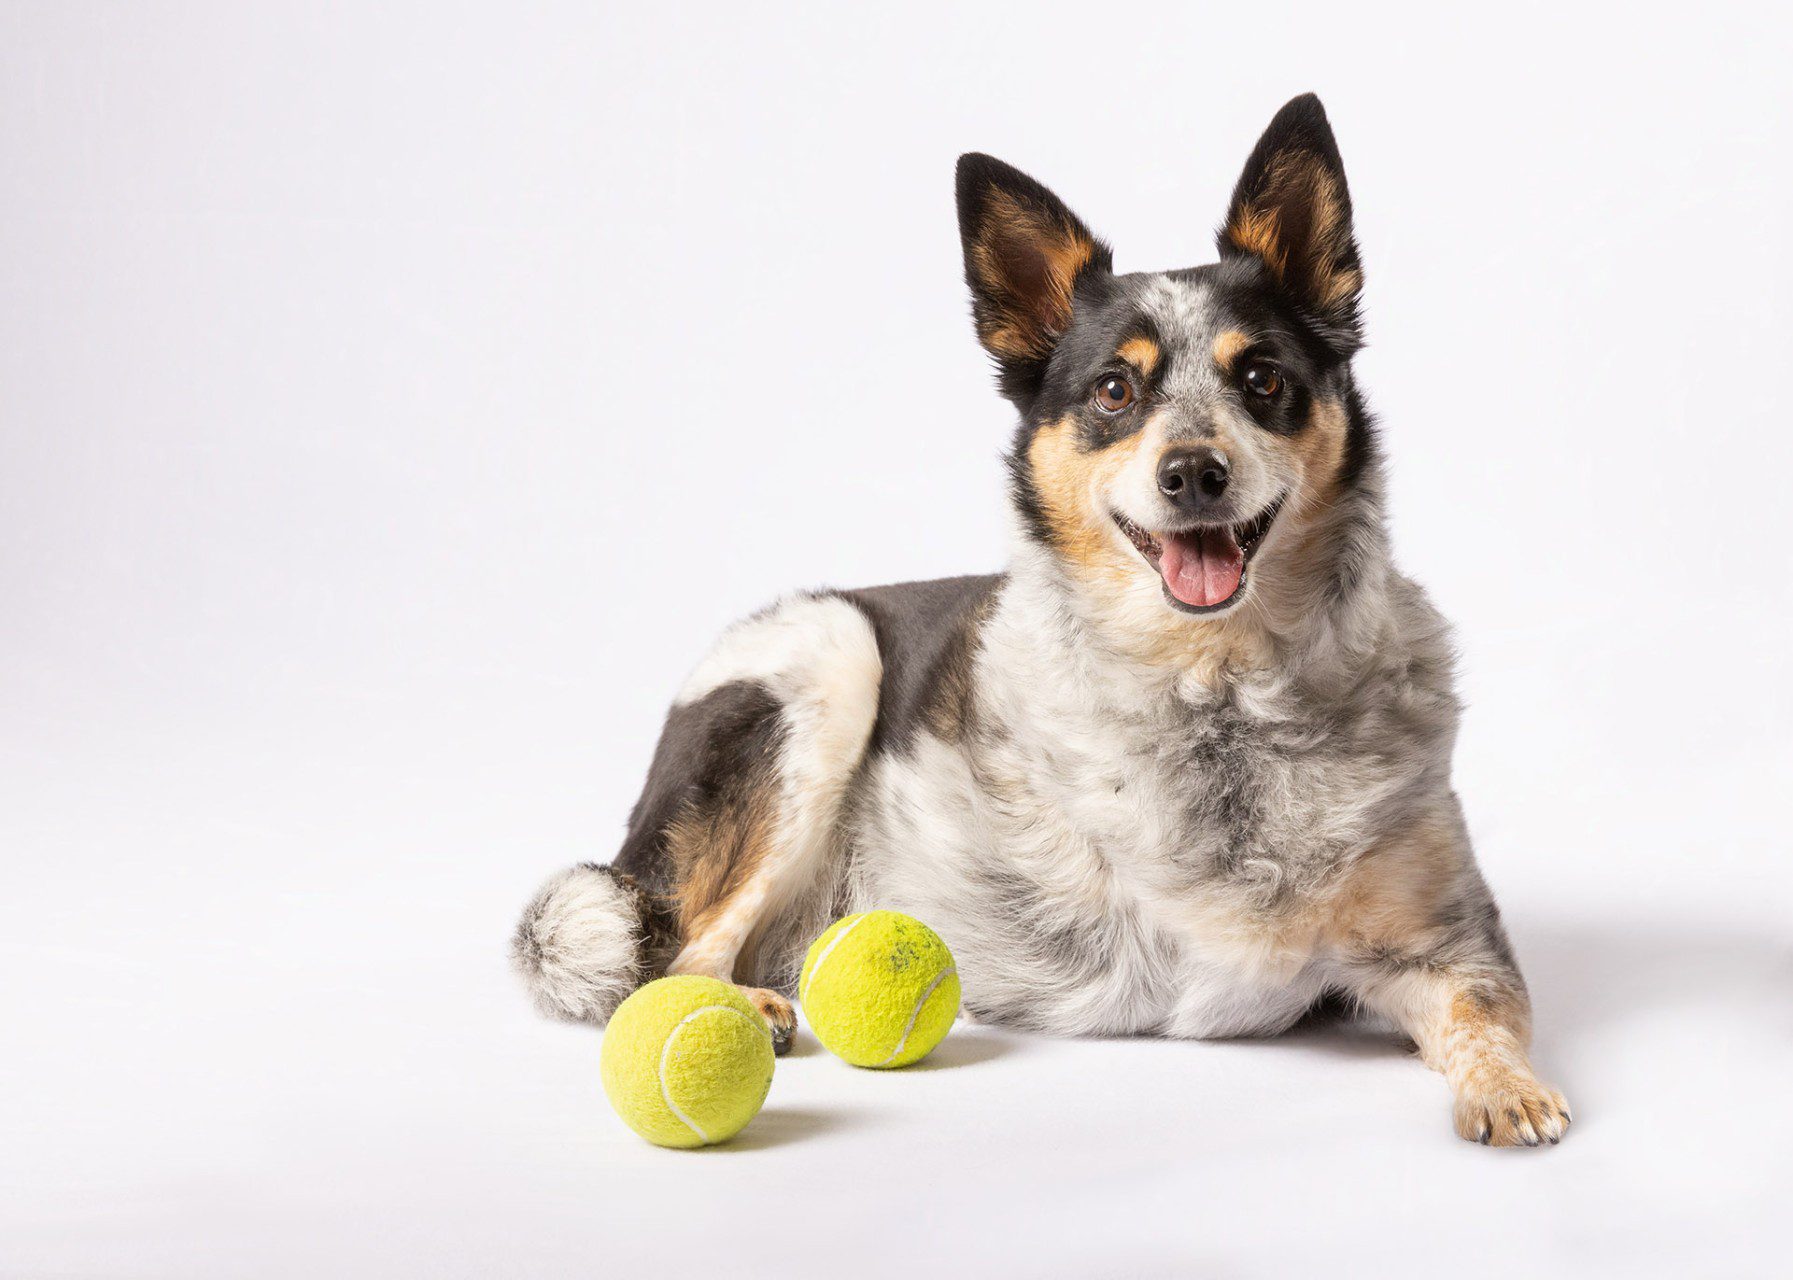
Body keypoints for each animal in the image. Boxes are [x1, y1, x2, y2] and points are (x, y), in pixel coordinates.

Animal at [516, 94, 1570, 1140]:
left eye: (1262, 378)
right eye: (1114, 389)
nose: (1192, 472)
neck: (1221, 696)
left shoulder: (1446, 941)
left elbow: (1480, 1014)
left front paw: (1507, 1090)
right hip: (827, 656)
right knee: (672, 955)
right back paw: (747, 1006)